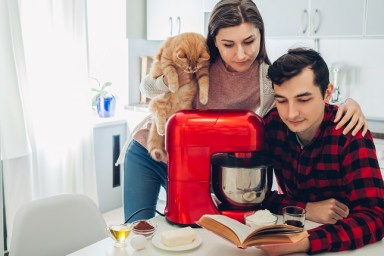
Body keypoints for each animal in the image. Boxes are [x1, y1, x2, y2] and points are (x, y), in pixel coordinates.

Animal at [147, 31, 210, 160]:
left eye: (195, 68)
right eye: (187, 68)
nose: (191, 71)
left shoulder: (203, 70)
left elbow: (204, 83)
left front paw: (203, 98)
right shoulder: (166, 61)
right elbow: (171, 72)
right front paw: (174, 86)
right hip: (160, 102)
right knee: (159, 117)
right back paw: (162, 130)